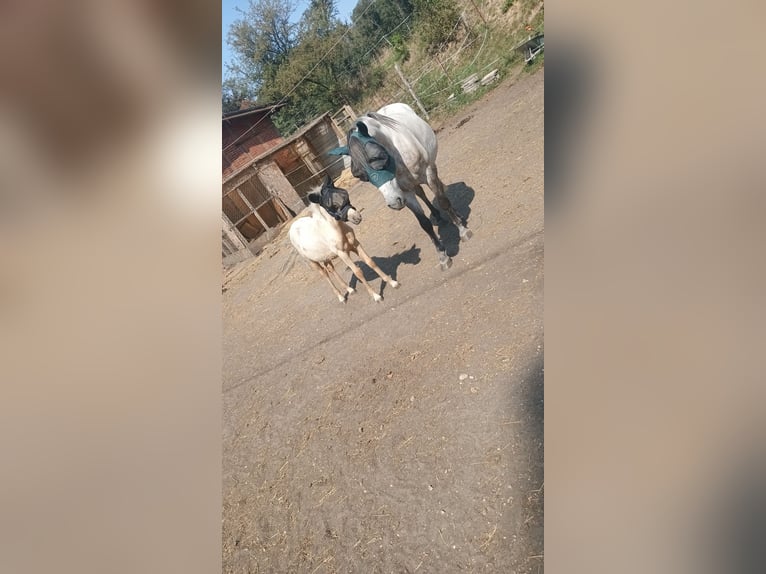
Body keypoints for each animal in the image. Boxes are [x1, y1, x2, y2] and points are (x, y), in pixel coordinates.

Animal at [289, 175, 400, 303]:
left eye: (345, 195)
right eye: (332, 206)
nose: (357, 217)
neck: (337, 230)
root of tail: (292, 227)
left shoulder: (355, 244)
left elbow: (370, 262)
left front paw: (393, 283)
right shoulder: (342, 254)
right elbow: (357, 271)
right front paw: (376, 296)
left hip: (326, 256)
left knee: (330, 268)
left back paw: (350, 290)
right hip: (313, 262)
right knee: (325, 274)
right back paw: (341, 297)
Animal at [329, 103, 471, 270]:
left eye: (379, 157)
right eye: (359, 175)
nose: (392, 202)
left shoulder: (429, 174)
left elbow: (443, 202)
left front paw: (463, 231)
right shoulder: (404, 193)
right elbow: (424, 223)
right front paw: (443, 256)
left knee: (441, 192)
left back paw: (457, 216)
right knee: (421, 193)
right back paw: (437, 216)